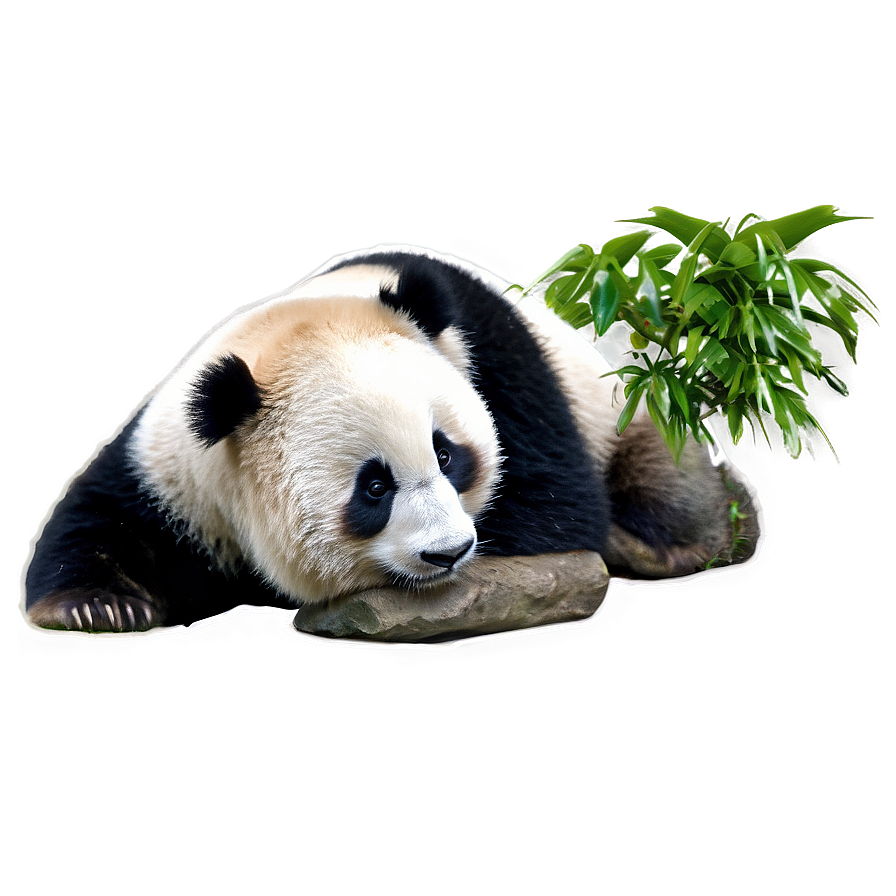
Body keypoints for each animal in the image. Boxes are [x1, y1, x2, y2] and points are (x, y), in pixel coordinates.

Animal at [25, 246, 753, 633]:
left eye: (447, 454)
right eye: (372, 487)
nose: (450, 553)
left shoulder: (501, 365)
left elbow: (554, 503)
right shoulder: (174, 459)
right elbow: (101, 515)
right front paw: (93, 607)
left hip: (629, 415)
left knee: (664, 485)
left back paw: (661, 543)